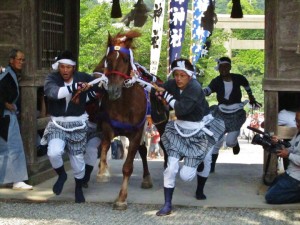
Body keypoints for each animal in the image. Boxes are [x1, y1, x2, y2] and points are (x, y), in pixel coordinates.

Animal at [94, 30, 154, 210]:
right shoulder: (109, 125)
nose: (113, 90)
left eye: (125, 59)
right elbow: (105, 144)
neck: (125, 104)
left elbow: (127, 167)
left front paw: (121, 198)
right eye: (107, 59)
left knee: (142, 150)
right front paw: (103, 171)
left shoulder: (137, 132)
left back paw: (146, 178)